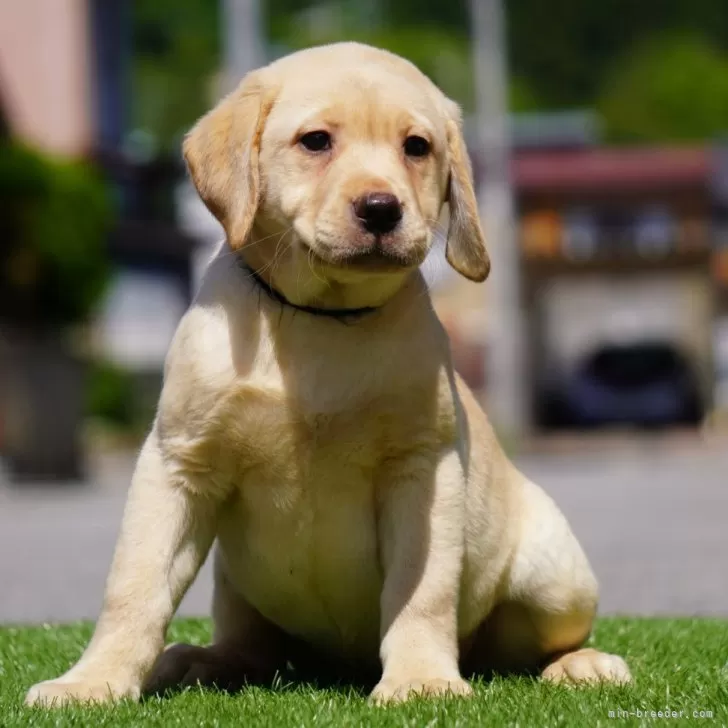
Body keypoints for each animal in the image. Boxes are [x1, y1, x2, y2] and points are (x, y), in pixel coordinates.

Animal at [27, 42, 632, 708]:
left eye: (416, 147)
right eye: (316, 141)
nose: (381, 209)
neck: (320, 318)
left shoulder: (421, 471)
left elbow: (422, 591)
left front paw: (421, 677)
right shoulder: (177, 464)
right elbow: (133, 587)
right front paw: (94, 680)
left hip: (555, 578)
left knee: (528, 644)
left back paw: (581, 664)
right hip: (236, 582)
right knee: (252, 648)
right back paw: (198, 660)